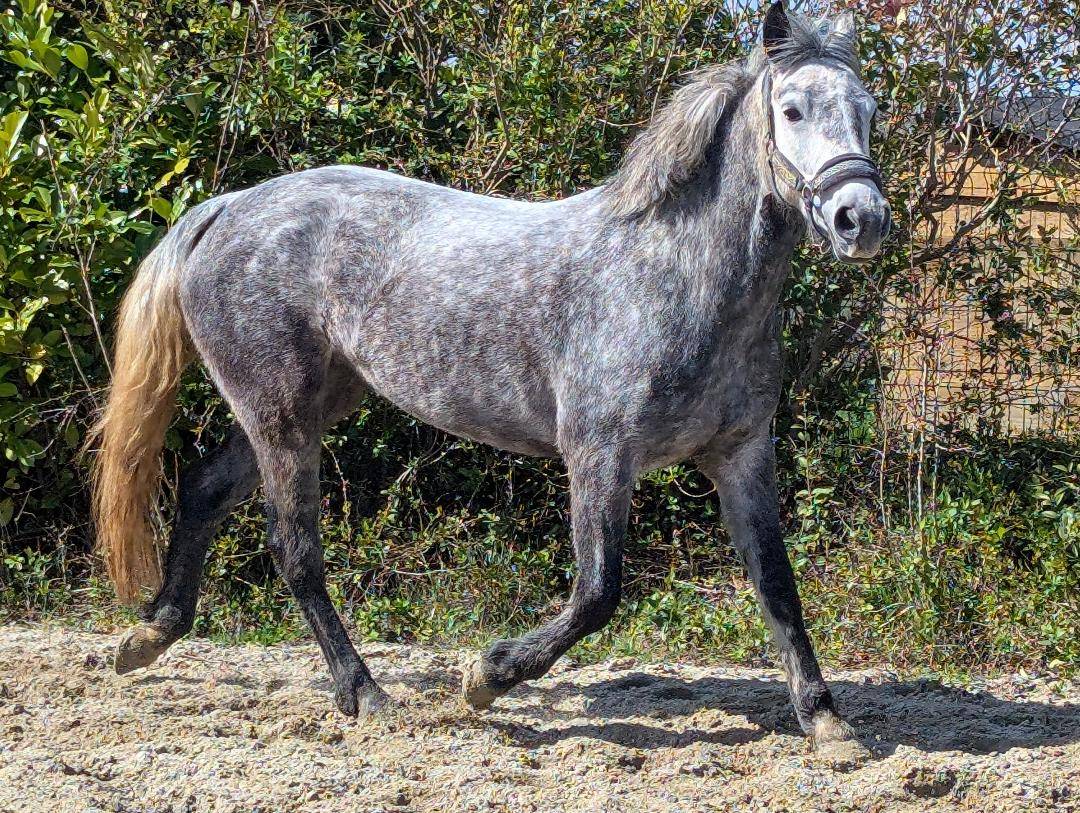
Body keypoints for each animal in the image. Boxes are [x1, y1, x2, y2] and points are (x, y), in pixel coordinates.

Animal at [91, 2, 889, 752]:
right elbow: (598, 592)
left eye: (868, 109)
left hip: (304, 403)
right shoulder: (600, 455)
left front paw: (828, 723)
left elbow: (777, 582)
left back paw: (147, 637)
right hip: (280, 413)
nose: (861, 219)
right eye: (792, 110)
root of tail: (228, 207)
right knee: (296, 552)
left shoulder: (742, 453)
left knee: (203, 489)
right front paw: (484, 677)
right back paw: (365, 694)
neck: (676, 276)